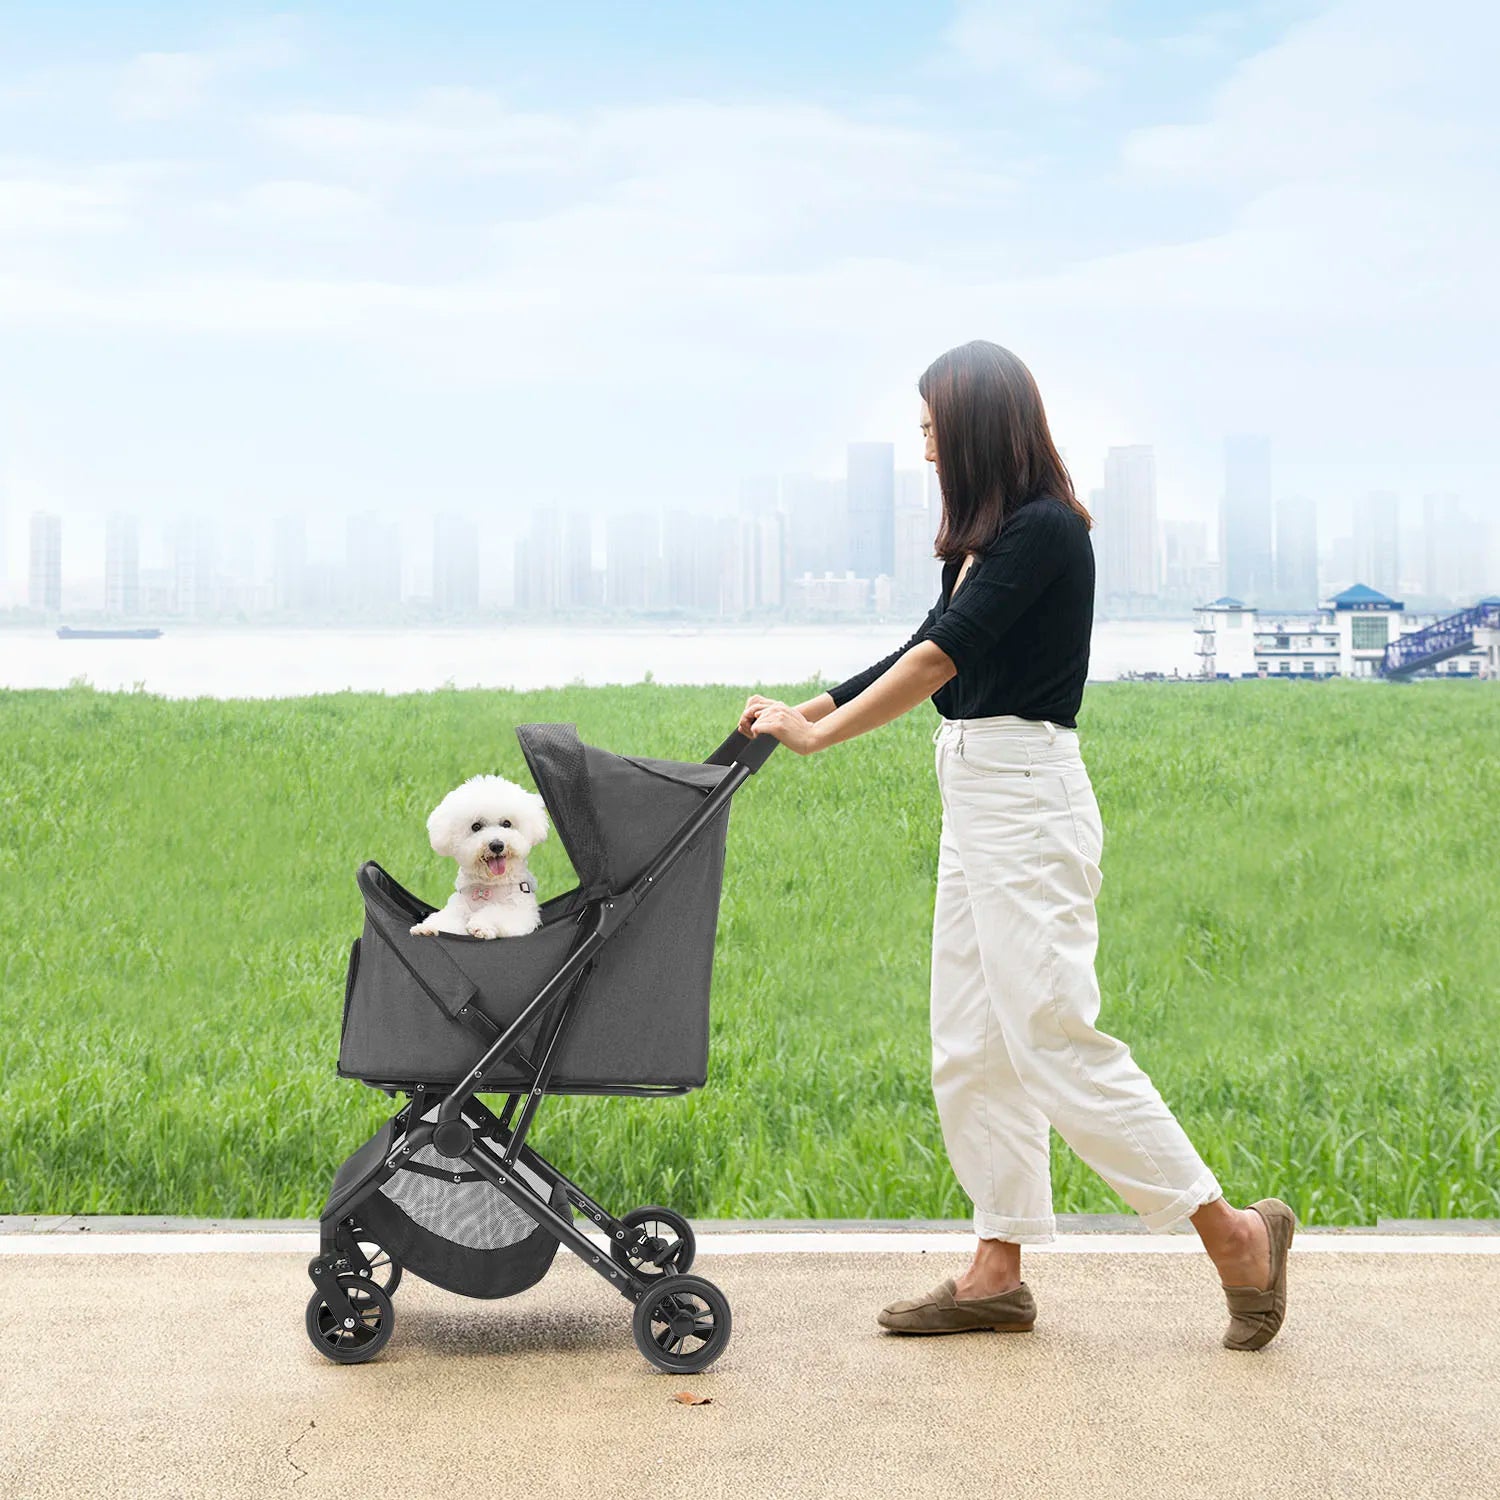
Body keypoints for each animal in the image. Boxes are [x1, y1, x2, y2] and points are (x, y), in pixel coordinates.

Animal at [411, 774, 552, 936]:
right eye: (476, 826)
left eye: (507, 823)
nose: (497, 845)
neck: (487, 887)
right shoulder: (458, 907)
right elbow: (446, 918)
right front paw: (426, 928)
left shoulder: (519, 910)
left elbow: (495, 912)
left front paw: (481, 925)